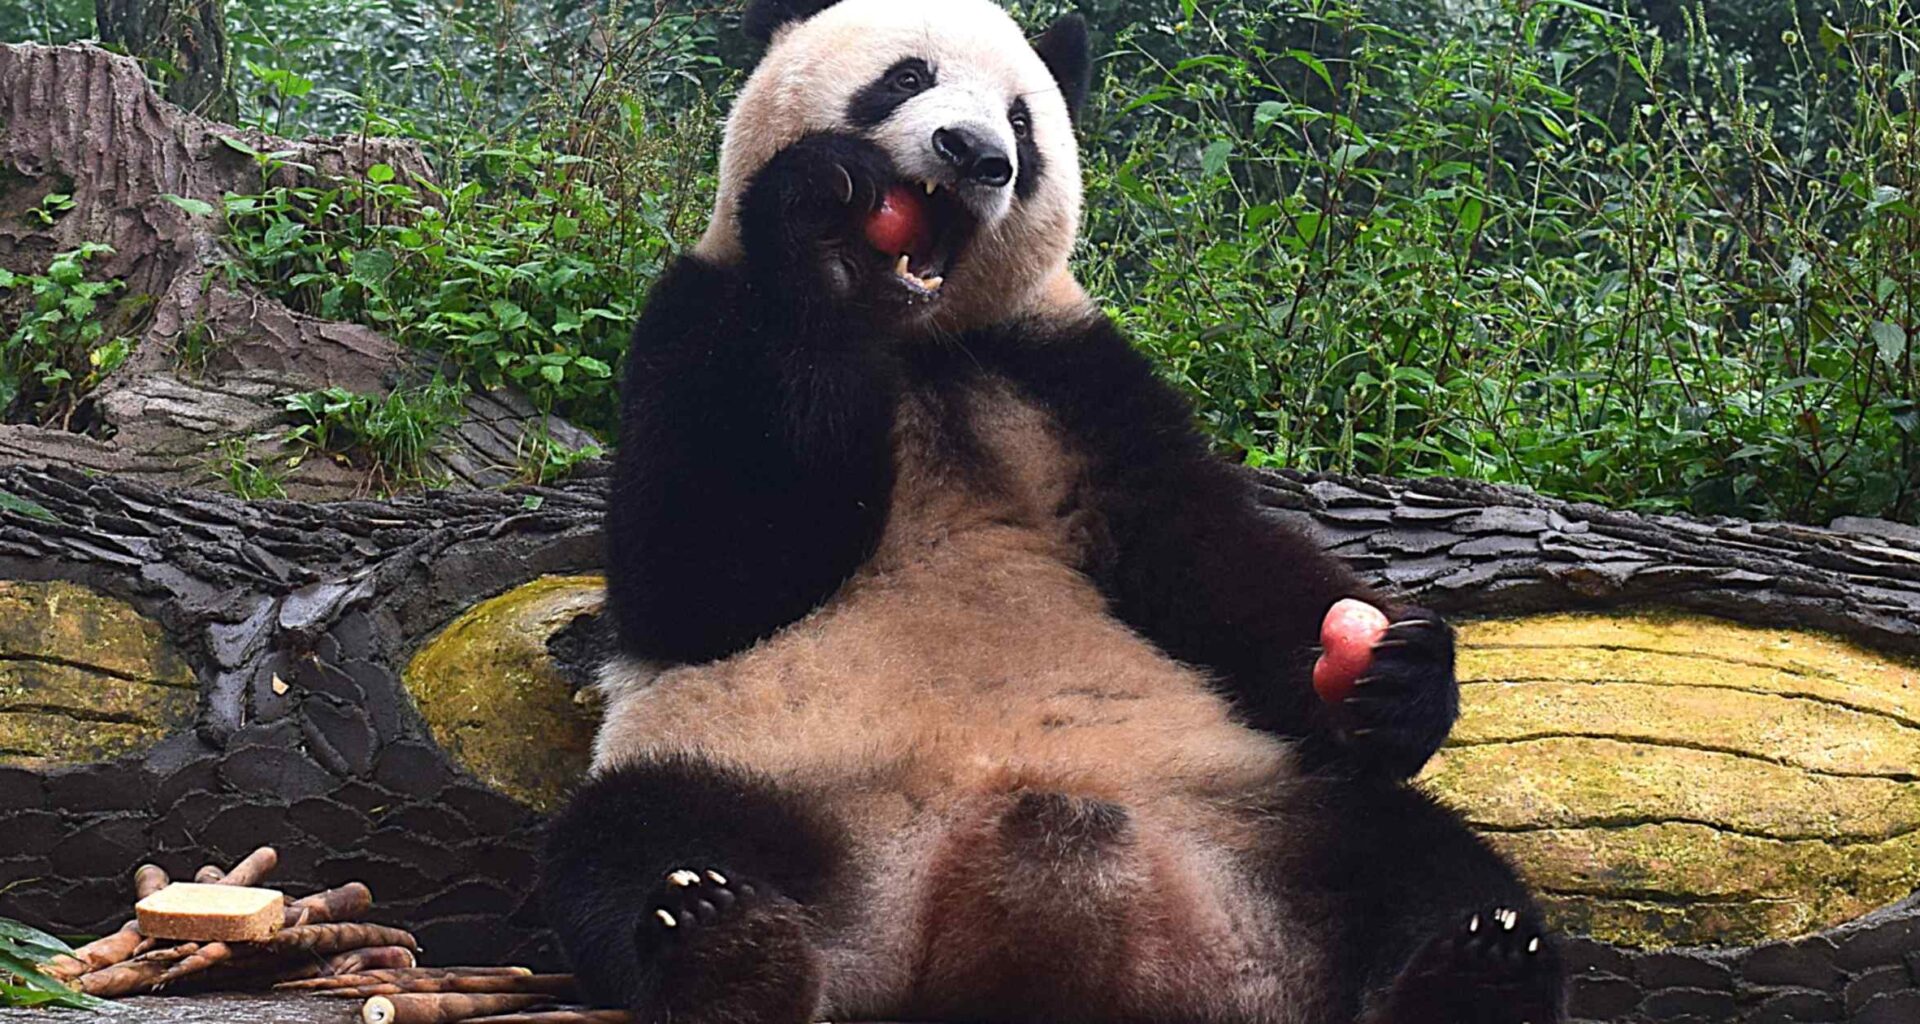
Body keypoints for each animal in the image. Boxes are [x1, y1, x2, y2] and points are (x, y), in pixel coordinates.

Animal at [540, 2, 1568, 1023]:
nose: (973, 154)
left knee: (1417, 862)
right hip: (761, 767)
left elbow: (1199, 549)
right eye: (906, 78)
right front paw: (822, 210)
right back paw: (726, 948)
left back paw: (1476, 969)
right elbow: (703, 578)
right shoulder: (699, 311)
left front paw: (1395, 680)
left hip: (1258, 802)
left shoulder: (1065, 368)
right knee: (634, 843)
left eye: (1023, 123)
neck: (918, 342)